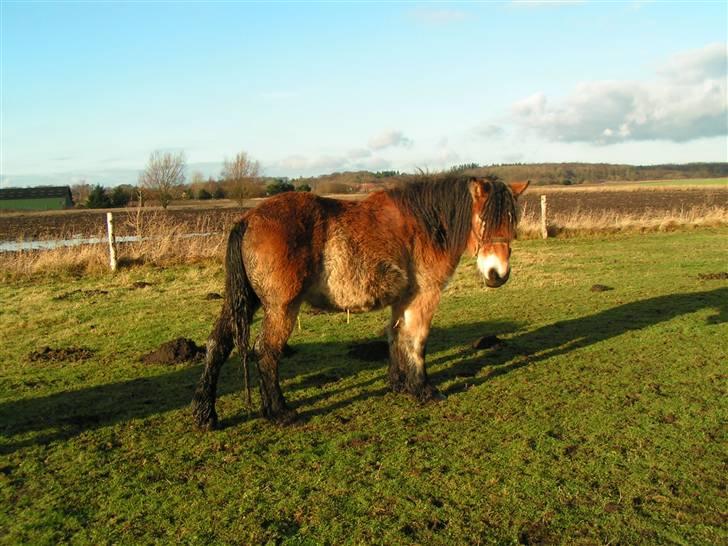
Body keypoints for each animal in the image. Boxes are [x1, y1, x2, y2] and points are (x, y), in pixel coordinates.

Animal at [193, 172, 528, 428]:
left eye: (512, 220)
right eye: (483, 220)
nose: (497, 274)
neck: (426, 224)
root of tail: (248, 219)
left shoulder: (403, 298)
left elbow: (396, 337)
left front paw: (400, 384)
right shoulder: (425, 295)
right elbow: (417, 341)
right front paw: (424, 389)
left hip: (244, 302)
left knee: (218, 345)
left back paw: (206, 414)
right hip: (281, 309)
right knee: (266, 352)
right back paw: (280, 412)